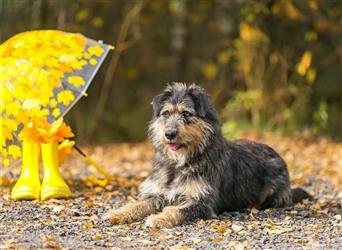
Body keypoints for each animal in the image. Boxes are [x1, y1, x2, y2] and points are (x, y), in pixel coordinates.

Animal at [103, 82, 312, 229]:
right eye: (166, 113)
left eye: (186, 114)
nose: (169, 134)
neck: (179, 163)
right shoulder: (157, 193)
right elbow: (136, 205)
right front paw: (116, 214)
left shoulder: (203, 202)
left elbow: (177, 210)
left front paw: (159, 218)